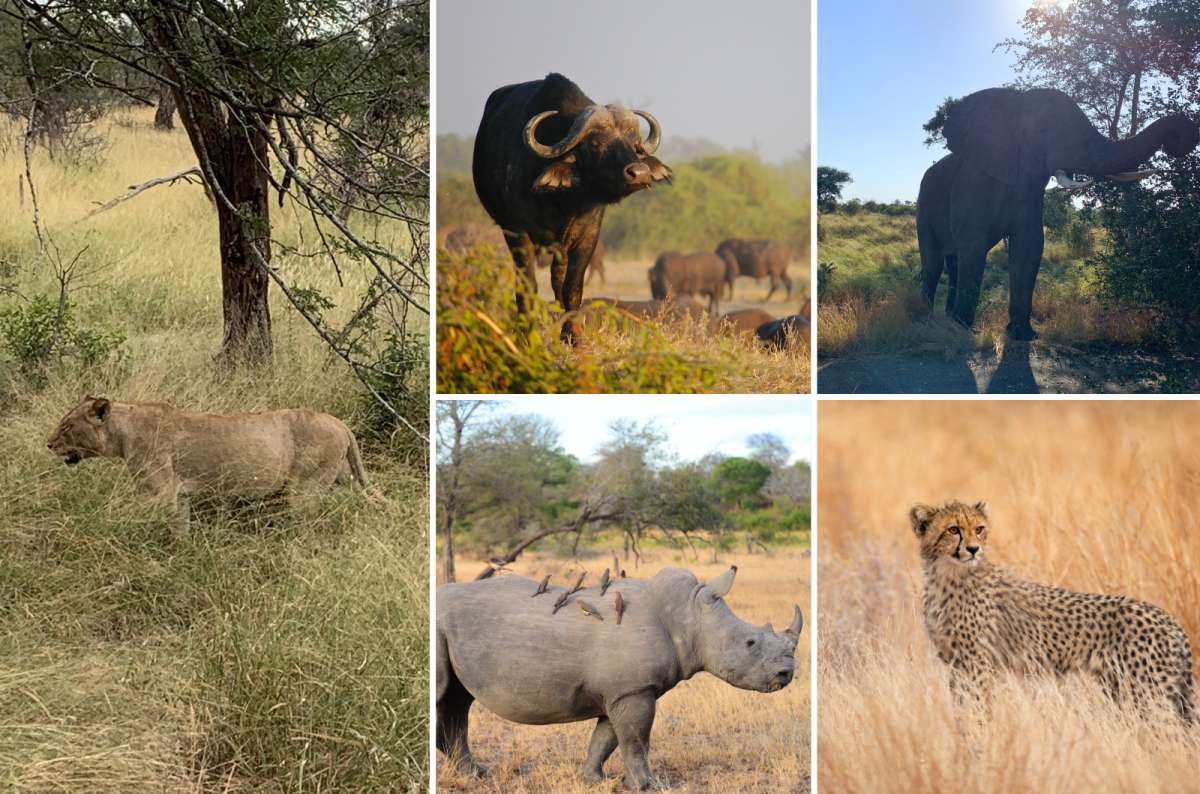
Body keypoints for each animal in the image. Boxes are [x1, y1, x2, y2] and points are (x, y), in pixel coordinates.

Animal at [47, 396, 369, 537]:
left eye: (67, 426)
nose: (49, 444)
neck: (123, 435)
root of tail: (341, 424)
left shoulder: (161, 493)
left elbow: (122, 513)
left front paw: (82, 524)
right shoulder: (179, 497)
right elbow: (181, 528)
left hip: (305, 489)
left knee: (312, 527)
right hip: (341, 478)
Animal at [473, 73, 672, 344]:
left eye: (634, 143)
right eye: (595, 143)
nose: (639, 173)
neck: (563, 201)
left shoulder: (587, 235)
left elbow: (573, 286)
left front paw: (573, 335)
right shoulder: (517, 232)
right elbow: (528, 286)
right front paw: (528, 336)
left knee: (558, 279)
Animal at [917, 87, 1199, 340]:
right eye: (1043, 132)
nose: (1182, 136)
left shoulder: (1030, 192)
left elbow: (1029, 246)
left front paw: (1023, 335)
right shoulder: (974, 184)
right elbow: (974, 247)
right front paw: (965, 331)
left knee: (953, 263)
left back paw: (947, 317)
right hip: (923, 205)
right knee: (934, 263)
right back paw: (926, 318)